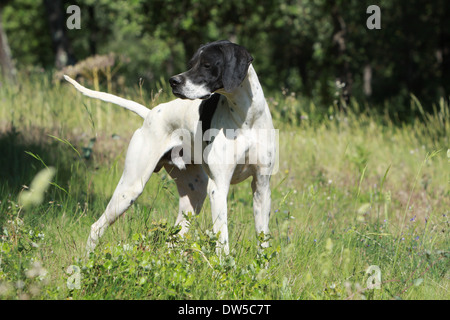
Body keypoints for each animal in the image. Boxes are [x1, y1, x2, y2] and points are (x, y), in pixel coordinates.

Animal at [64, 40, 276, 255]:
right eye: (191, 63)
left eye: (207, 64)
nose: (173, 81)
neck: (247, 119)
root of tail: (150, 114)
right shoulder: (218, 187)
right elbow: (222, 239)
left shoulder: (262, 188)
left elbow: (263, 239)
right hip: (130, 189)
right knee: (96, 227)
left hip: (195, 194)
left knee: (173, 239)